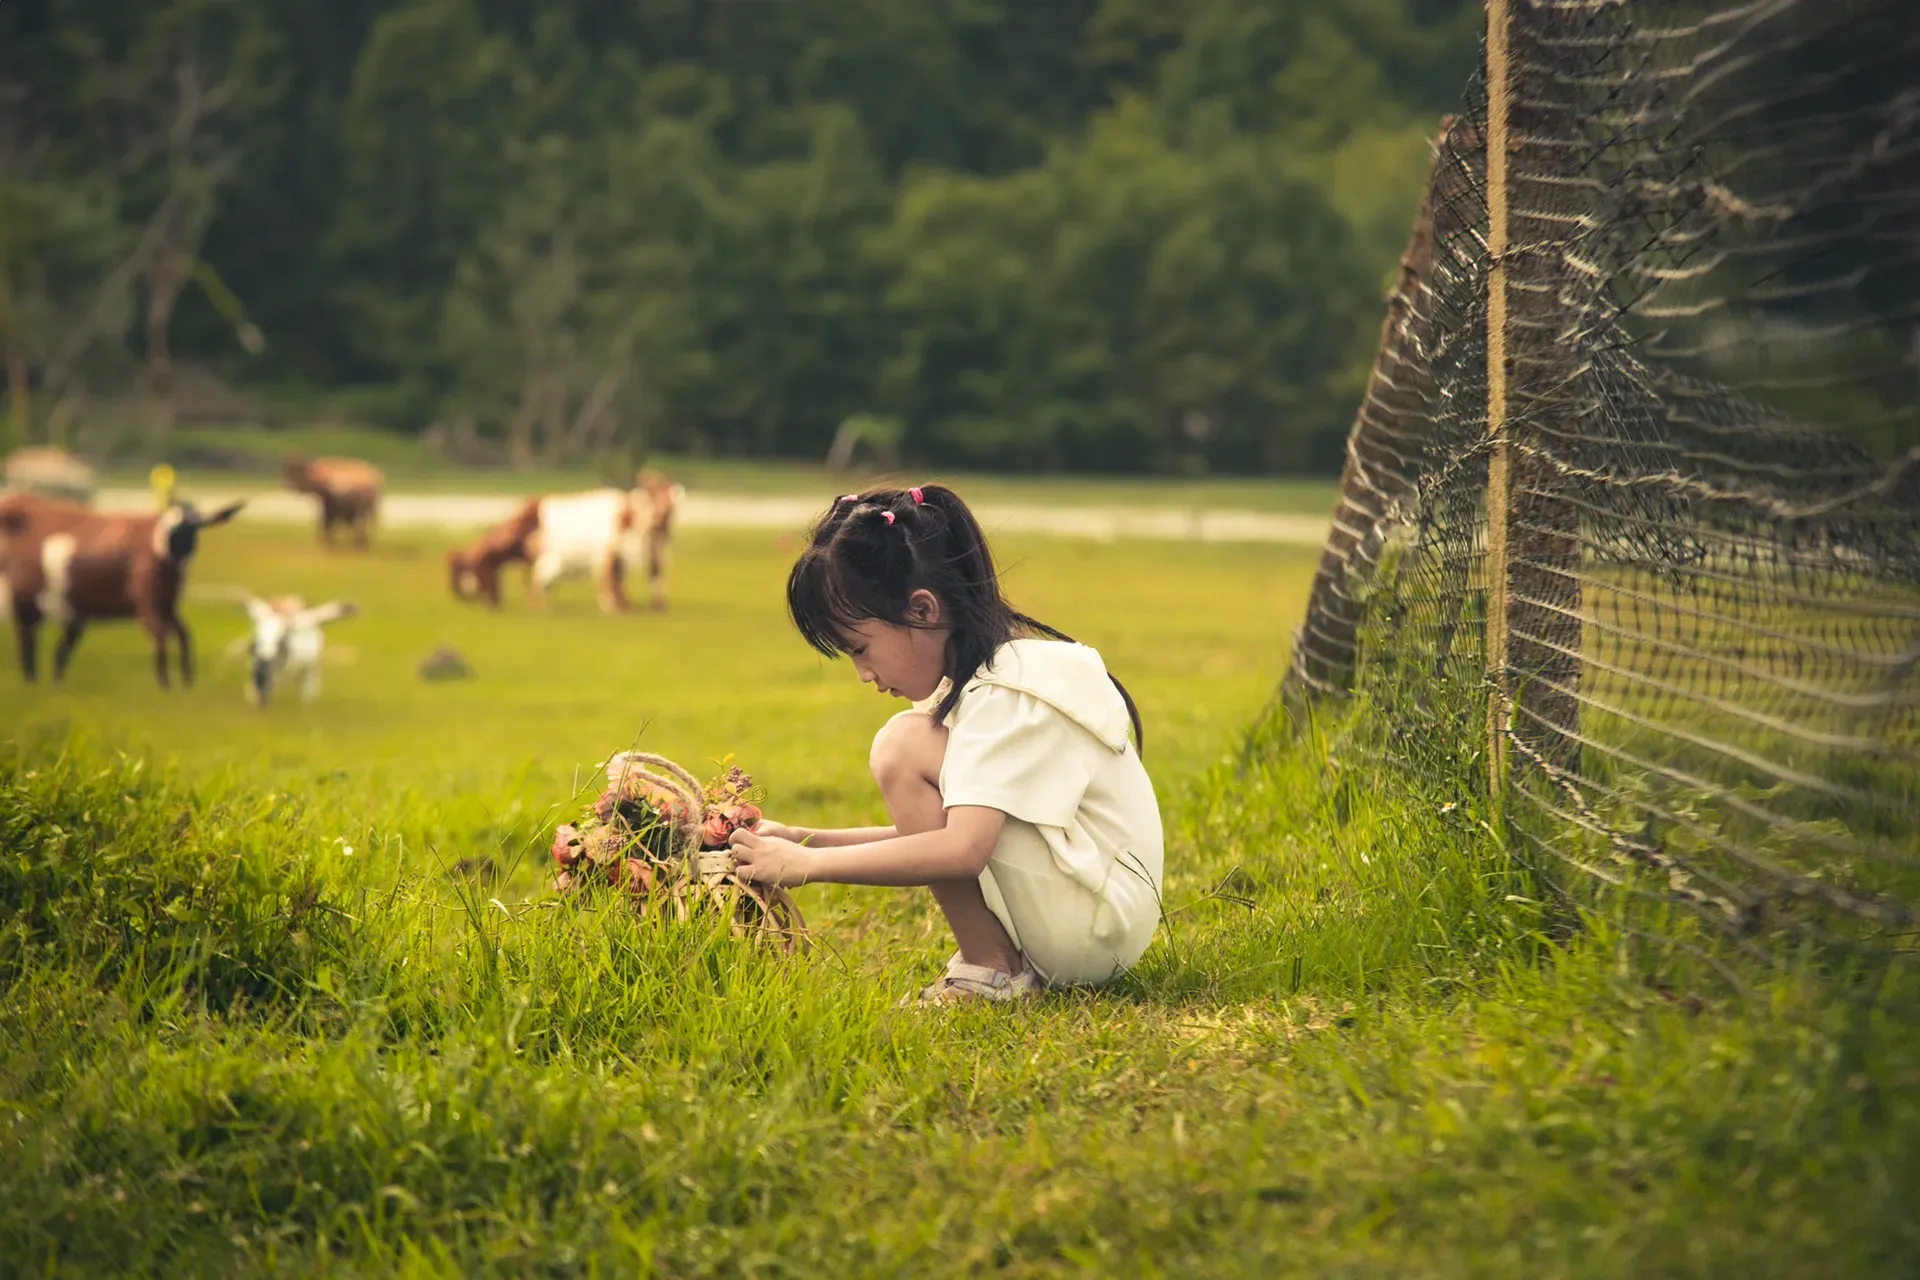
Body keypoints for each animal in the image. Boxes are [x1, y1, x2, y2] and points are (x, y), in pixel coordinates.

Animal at [0, 495, 247, 690]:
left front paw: (187, 682)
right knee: (28, 644)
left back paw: (48, 684)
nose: (169, 552)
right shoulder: (146, 603)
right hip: (28, 604)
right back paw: (32, 683)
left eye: (195, 527)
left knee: (52, 651)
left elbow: (184, 634)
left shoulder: (167, 605)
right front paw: (165, 683)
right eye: (173, 529)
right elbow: (163, 635)